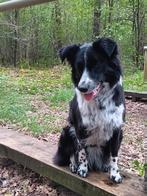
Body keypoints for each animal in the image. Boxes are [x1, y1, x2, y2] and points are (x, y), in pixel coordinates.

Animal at [54, 37, 125, 183]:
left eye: (96, 65)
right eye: (79, 67)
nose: (82, 88)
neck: (100, 100)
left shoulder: (117, 130)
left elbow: (114, 155)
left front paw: (114, 173)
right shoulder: (80, 129)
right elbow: (81, 152)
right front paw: (82, 169)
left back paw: (105, 165)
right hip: (66, 130)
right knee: (72, 153)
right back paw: (74, 165)